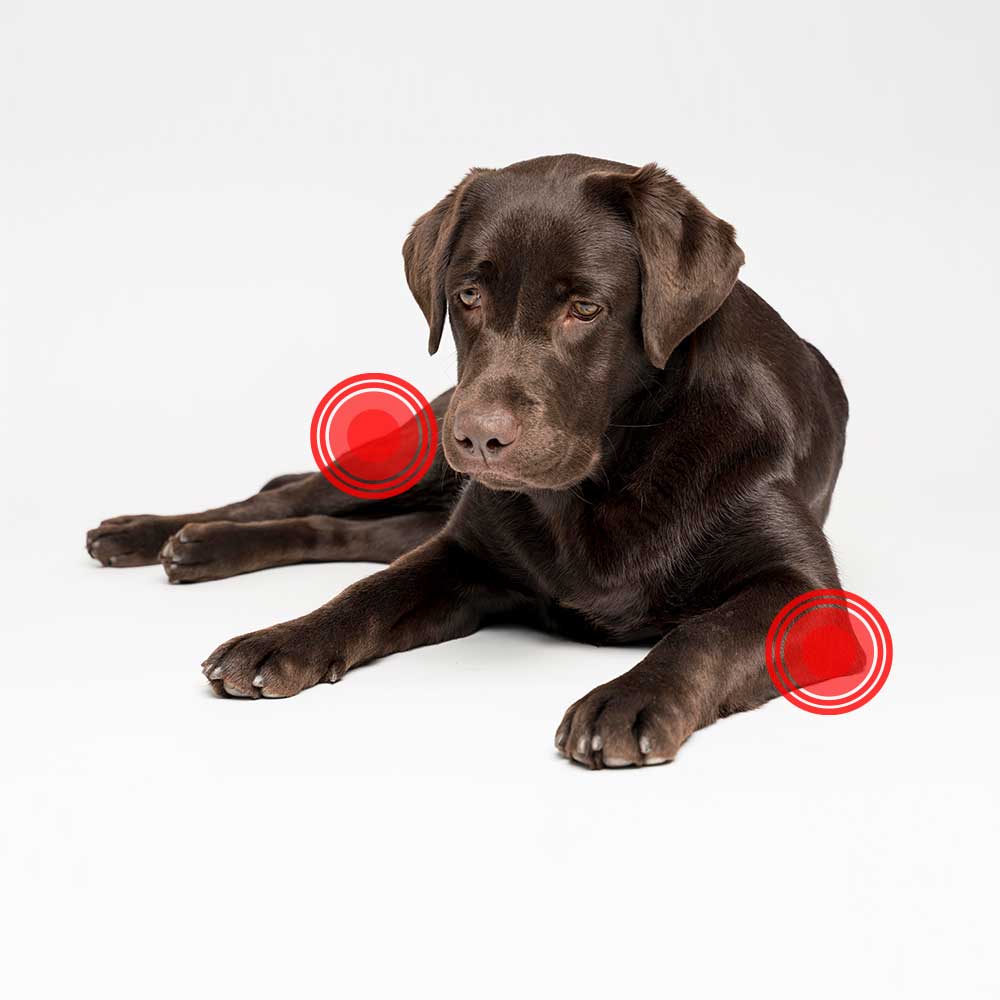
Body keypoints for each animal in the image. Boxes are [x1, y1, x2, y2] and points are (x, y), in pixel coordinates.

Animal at [88, 154, 852, 764]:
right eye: (469, 295)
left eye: (585, 308)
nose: (481, 437)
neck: (608, 476)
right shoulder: (463, 554)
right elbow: (367, 594)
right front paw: (282, 640)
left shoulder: (804, 593)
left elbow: (705, 633)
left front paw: (629, 699)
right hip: (415, 453)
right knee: (291, 493)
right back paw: (163, 536)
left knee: (345, 531)